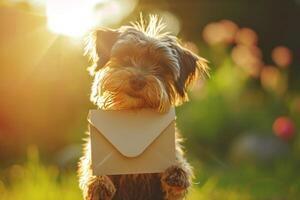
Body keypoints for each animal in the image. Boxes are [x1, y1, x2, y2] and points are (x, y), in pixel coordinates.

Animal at [78, 16, 209, 200]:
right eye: (126, 57)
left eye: (161, 66)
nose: (138, 80)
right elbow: (91, 166)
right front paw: (98, 183)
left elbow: (178, 166)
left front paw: (178, 172)